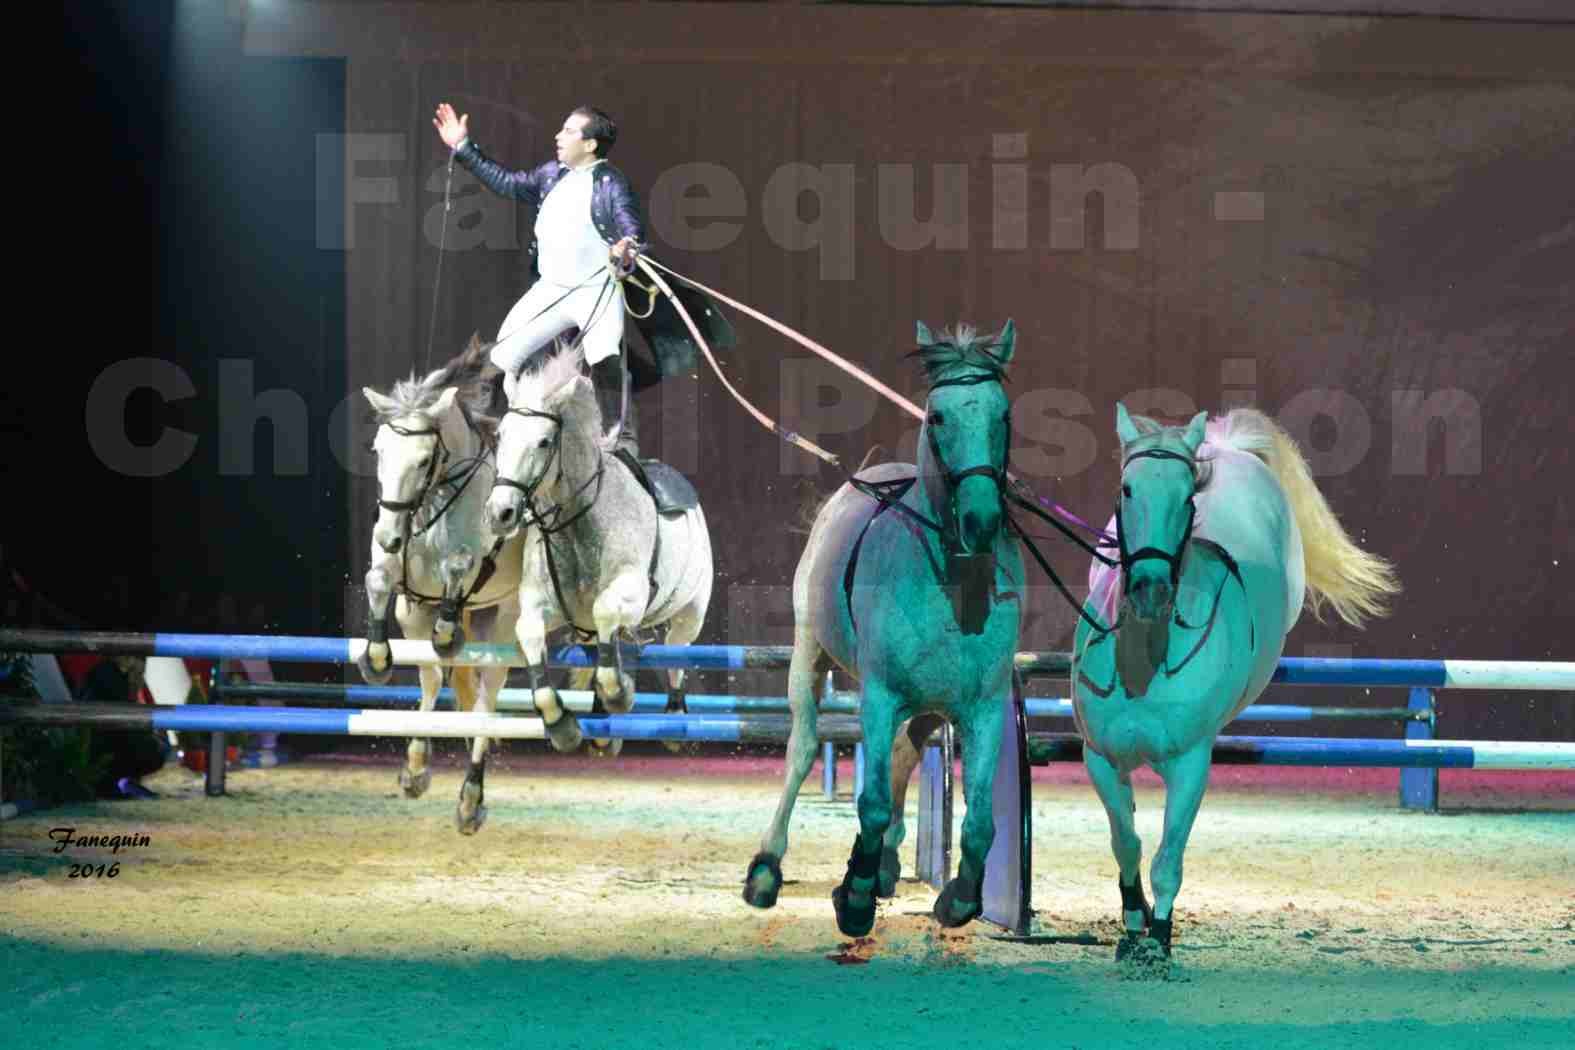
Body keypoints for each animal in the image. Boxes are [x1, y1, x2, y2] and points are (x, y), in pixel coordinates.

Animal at [360, 344, 526, 837]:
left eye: (422, 460)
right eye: (379, 451)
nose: (389, 536)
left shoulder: (466, 570)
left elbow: (458, 567)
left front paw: (447, 632)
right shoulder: (409, 596)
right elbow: (378, 579)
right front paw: (376, 661)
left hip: (506, 618)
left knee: (487, 700)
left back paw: (471, 801)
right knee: (436, 679)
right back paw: (417, 767)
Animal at [481, 349, 718, 752]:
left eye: (544, 441)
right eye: (500, 435)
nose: (501, 513)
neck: (576, 525)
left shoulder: (630, 592)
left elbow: (606, 611)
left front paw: (618, 693)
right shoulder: (541, 604)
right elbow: (529, 634)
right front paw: (561, 723)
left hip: (691, 611)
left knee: (677, 652)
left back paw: (674, 718)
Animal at [743, 321, 1026, 938]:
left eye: (1004, 414)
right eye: (937, 416)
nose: (981, 520)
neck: (951, 580)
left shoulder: (984, 707)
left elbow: (982, 823)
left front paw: (957, 899)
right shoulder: (879, 694)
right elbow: (869, 800)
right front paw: (853, 899)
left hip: (925, 709)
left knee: (902, 754)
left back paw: (883, 865)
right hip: (809, 652)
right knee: (804, 747)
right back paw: (768, 868)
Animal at [1071, 406, 1404, 976]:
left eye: (1188, 497)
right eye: (1127, 489)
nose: (1151, 589)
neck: (1145, 660)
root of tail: (1227, 447)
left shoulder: (1190, 765)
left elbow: (1166, 860)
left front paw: (1158, 942)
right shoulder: (1101, 759)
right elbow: (1127, 844)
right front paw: (1133, 929)